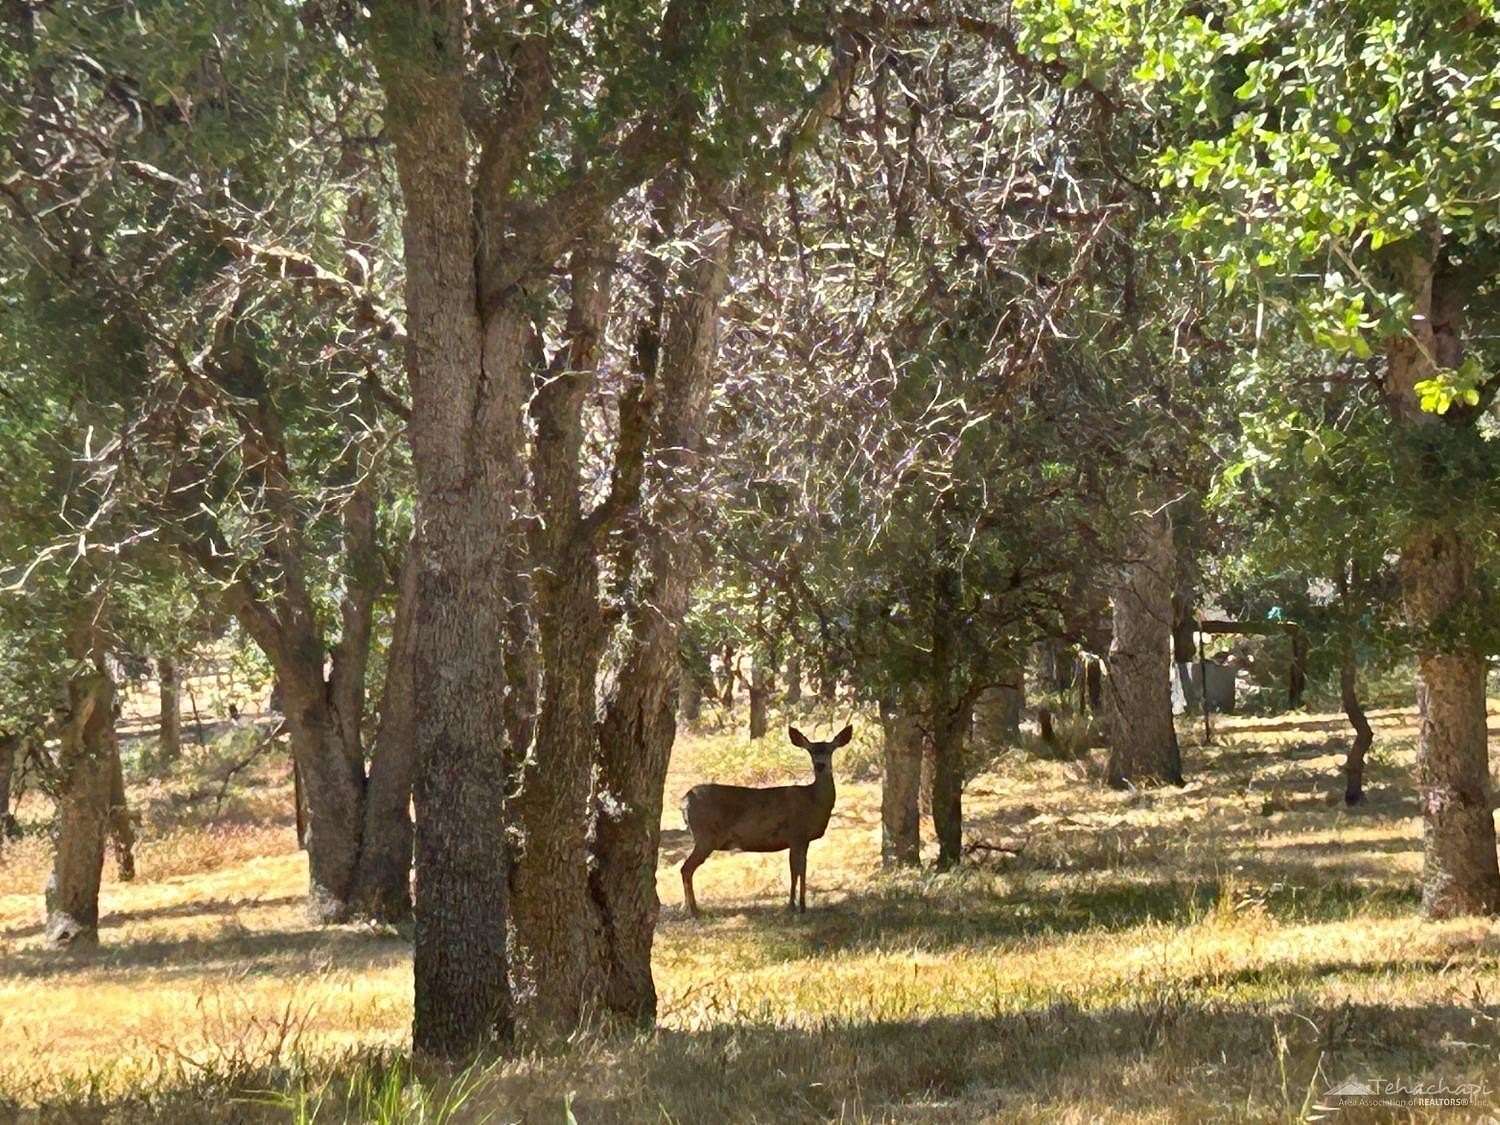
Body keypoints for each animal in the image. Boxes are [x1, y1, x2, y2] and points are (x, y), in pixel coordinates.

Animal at [684, 723, 858, 918]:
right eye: (811, 751)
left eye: (830, 750)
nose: (820, 765)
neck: (814, 802)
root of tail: (686, 799)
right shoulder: (796, 835)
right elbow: (794, 871)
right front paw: (792, 906)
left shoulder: (803, 840)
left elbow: (802, 870)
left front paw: (803, 906)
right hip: (705, 836)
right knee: (686, 869)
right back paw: (693, 910)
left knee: (686, 869)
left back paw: (689, 908)